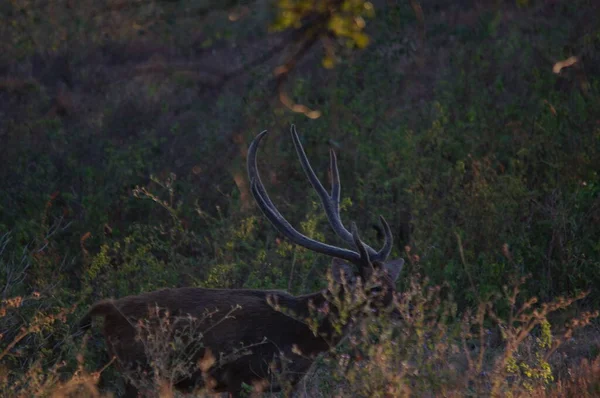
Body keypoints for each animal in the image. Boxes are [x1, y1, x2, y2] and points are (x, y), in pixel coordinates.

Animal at [79, 125, 406, 398]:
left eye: (392, 280)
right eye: (374, 287)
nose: (404, 312)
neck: (302, 334)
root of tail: (106, 308)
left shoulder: (293, 382)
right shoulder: (239, 375)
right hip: (138, 372)